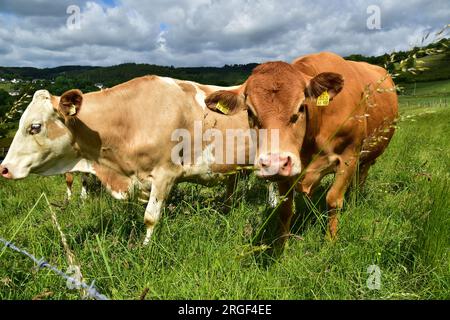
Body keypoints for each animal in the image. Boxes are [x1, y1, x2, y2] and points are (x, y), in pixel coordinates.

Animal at [204, 51, 398, 245]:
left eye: (300, 108)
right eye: (250, 112)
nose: (273, 163)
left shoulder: (349, 155)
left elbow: (333, 200)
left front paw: (331, 241)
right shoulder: (285, 170)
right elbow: (285, 209)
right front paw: (280, 245)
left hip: (368, 155)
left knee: (361, 177)